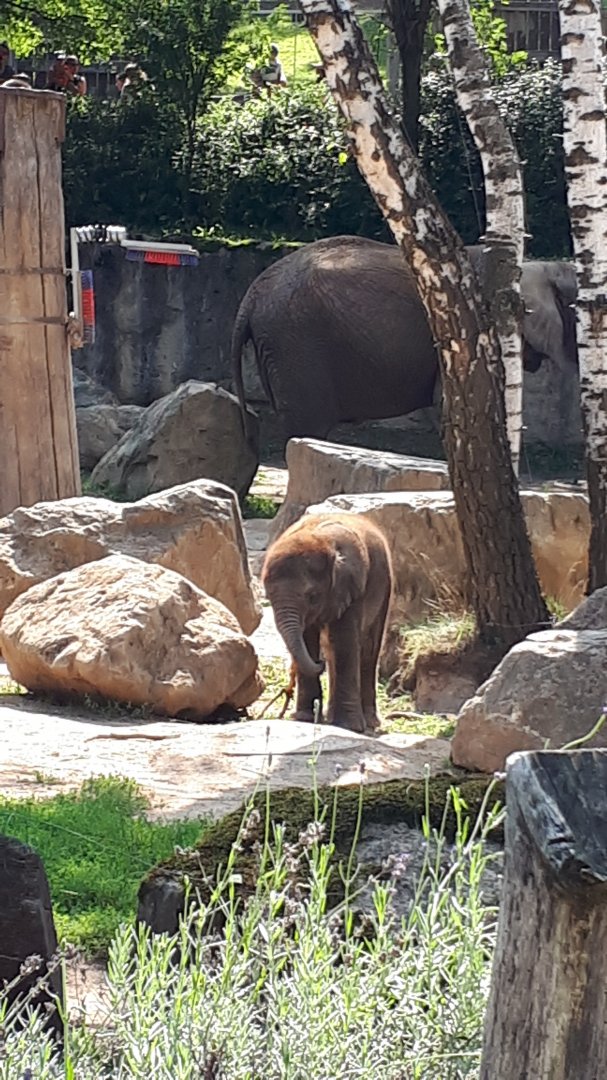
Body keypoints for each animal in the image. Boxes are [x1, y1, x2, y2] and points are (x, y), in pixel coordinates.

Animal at [262, 511, 393, 734]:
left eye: (312, 596)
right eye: (268, 597)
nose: (319, 663)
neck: (319, 537)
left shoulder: (353, 589)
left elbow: (343, 641)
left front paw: (348, 726)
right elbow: (308, 638)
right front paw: (304, 719)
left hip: (386, 586)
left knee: (368, 648)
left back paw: (370, 723)